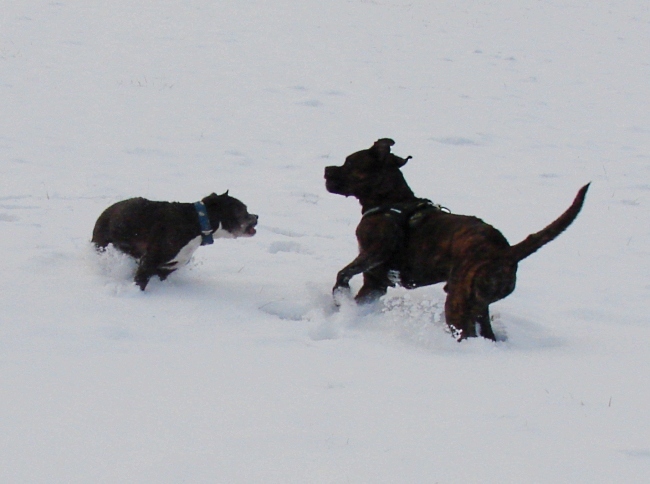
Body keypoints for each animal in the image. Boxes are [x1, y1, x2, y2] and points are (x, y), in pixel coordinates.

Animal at [92, 191, 258, 290]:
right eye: (243, 210)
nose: (256, 216)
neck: (197, 223)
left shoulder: (166, 267)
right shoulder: (149, 261)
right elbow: (141, 280)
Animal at [322, 137, 588, 340]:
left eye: (349, 162)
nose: (326, 170)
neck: (389, 201)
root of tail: (506, 251)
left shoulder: (375, 252)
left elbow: (343, 273)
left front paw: (340, 296)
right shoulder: (375, 282)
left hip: (458, 303)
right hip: (478, 305)